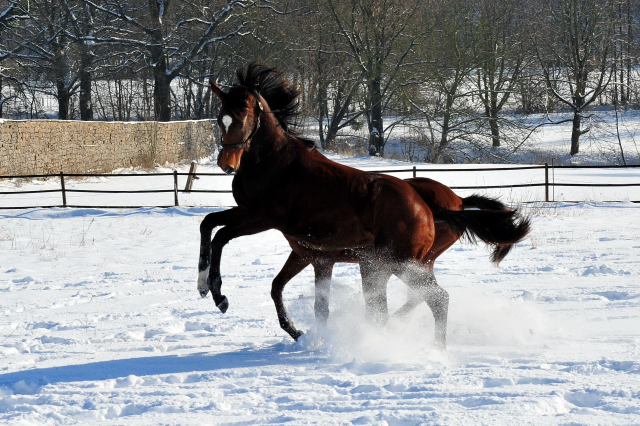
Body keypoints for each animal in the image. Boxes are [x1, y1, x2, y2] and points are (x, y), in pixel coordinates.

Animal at [196, 63, 528, 350]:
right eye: (220, 119)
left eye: (241, 120)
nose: (226, 164)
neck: (276, 163)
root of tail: (431, 208)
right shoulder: (309, 254)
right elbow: (213, 228)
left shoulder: (263, 218)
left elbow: (220, 235)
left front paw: (217, 293)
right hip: (386, 266)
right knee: (403, 304)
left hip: (400, 264)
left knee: (435, 299)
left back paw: (433, 349)